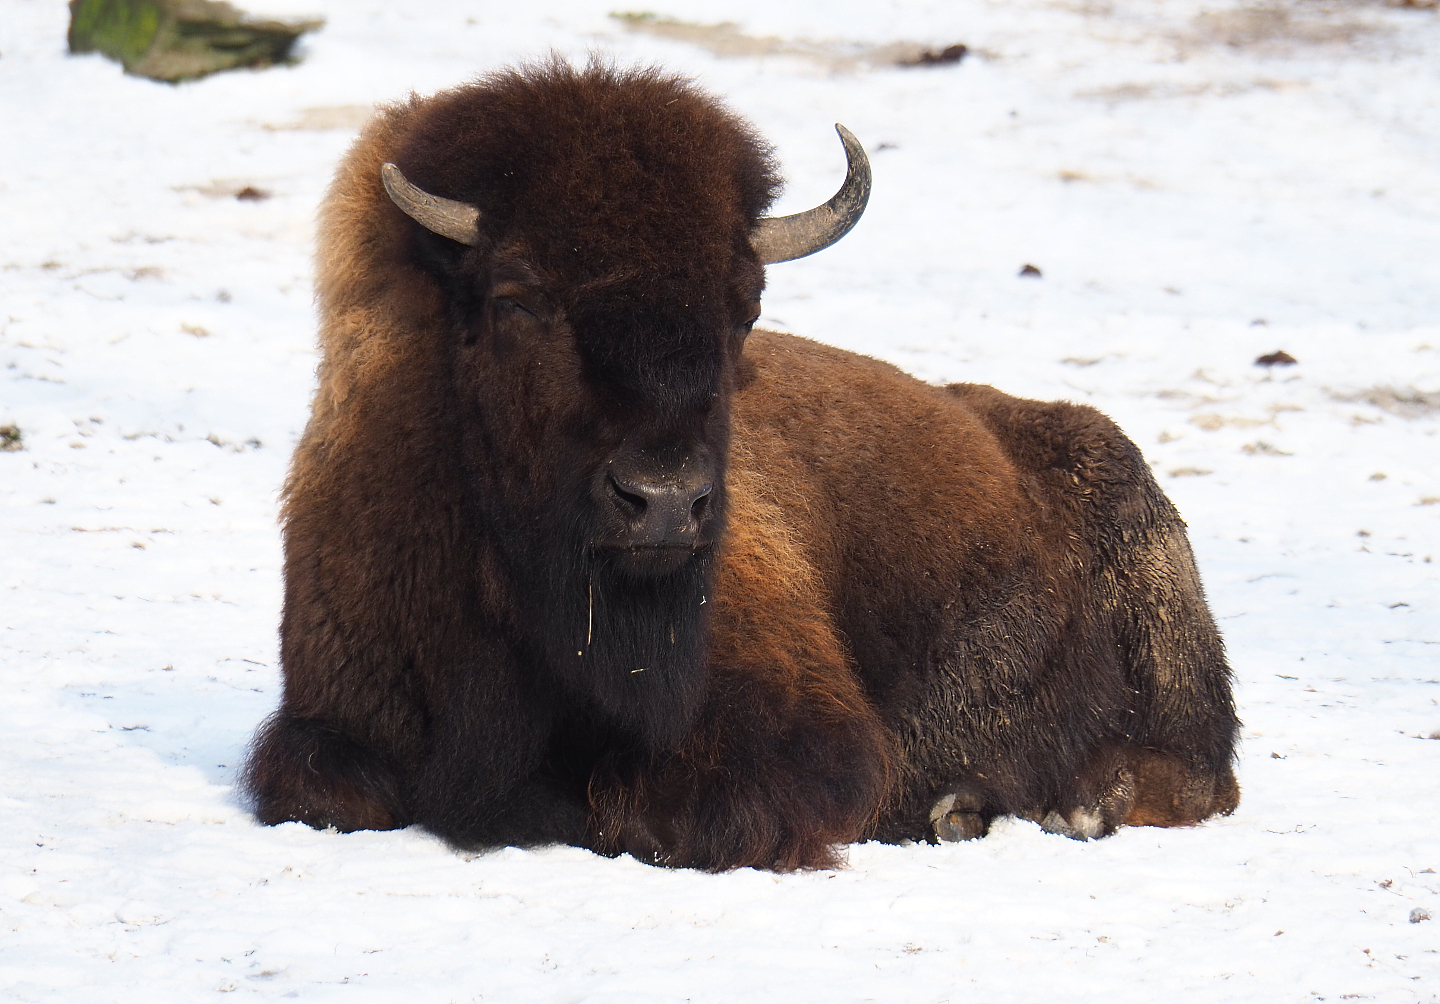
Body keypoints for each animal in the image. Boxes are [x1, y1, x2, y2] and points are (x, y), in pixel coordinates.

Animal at [243, 61, 1239, 871]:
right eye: (518, 295)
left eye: (745, 303)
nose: (664, 502)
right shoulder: (328, 721)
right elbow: (327, 788)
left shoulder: (796, 730)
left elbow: (649, 810)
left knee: (1193, 773)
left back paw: (1039, 807)